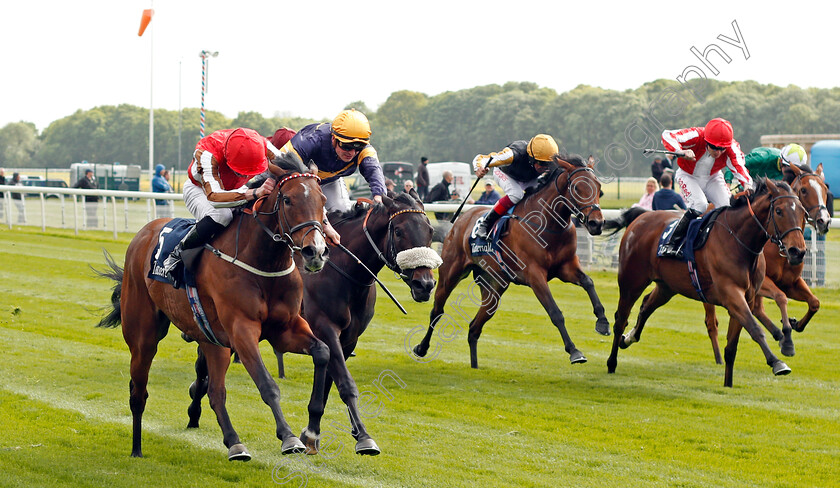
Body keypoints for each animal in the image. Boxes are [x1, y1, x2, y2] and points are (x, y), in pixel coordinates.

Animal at [97, 155, 332, 462]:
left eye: (323, 200)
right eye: (288, 200)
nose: (315, 252)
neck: (262, 263)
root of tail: (143, 234)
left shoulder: (285, 329)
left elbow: (323, 352)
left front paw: (312, 432)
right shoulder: (242, 330)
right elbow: (267, 384)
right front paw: (289, 437)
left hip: (213, 341)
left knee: (215, 391)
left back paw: (234, 442)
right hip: (143, 335)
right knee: (139, 391)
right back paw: (137, 448)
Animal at [185, 190, 440, 454]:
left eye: (430, 230)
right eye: (398, 231)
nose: (425, 284)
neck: (344, 274)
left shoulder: (348, 339)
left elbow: (330, 381)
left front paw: (313, 432)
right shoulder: (324, 327)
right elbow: (345, 382)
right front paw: (361, 436)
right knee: (203, 364)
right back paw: (195, 408)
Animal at [412, 154, 604, 368]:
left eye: (599, 187)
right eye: (577, 188)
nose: (597, 223)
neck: (549, 224)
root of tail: (460, 219)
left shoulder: (566, 267)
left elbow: (588, 282)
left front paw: (603, 322)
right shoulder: (535, 275)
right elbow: (555, 313)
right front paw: (574, 351)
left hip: (493, 287)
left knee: (474, 327)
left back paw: (474, 366)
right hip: (450, 274)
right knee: (437, 310)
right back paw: (422, 348)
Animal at [604, 177, 808, 386]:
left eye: (803, 213)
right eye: (779, 211)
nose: (797, 251)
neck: (739, 241)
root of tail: (641, 218)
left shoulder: (747, 298)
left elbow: (732, 346)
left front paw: (728, 384)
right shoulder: (732, 295)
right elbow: (755, 328)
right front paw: (777, 362)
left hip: (667, 287)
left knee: (646, 307)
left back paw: (628, 339)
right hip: (631, 281)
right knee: (620, 320)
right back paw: (612, 362)